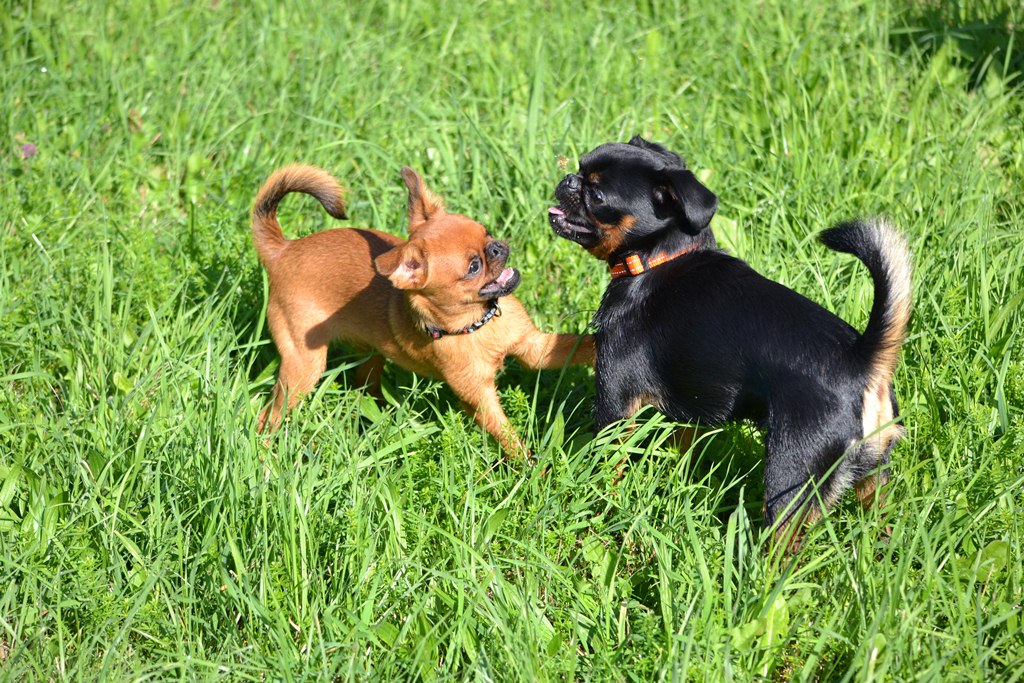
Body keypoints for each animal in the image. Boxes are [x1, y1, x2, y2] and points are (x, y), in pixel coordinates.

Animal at [250, 162, 598, 456]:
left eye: (486, 231)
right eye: (473, 267)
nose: (497, 247)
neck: (479, 323)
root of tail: (283, 251)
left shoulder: (534, 349)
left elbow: (579, 345)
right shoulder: (480, 397)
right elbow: (508, 437)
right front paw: (532, 468)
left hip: (369, 354)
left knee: (366, 385)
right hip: (303, 368)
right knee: (267, 416)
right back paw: (265, 458)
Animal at [552, 136, 913, 548]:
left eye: (596, 194)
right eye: (580, 169)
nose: (569, 180)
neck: (660, 258)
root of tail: (863, 359)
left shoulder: (615, 402)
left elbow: (608, 461)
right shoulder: (690, 406)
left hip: (792, 474)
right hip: (874, 474)